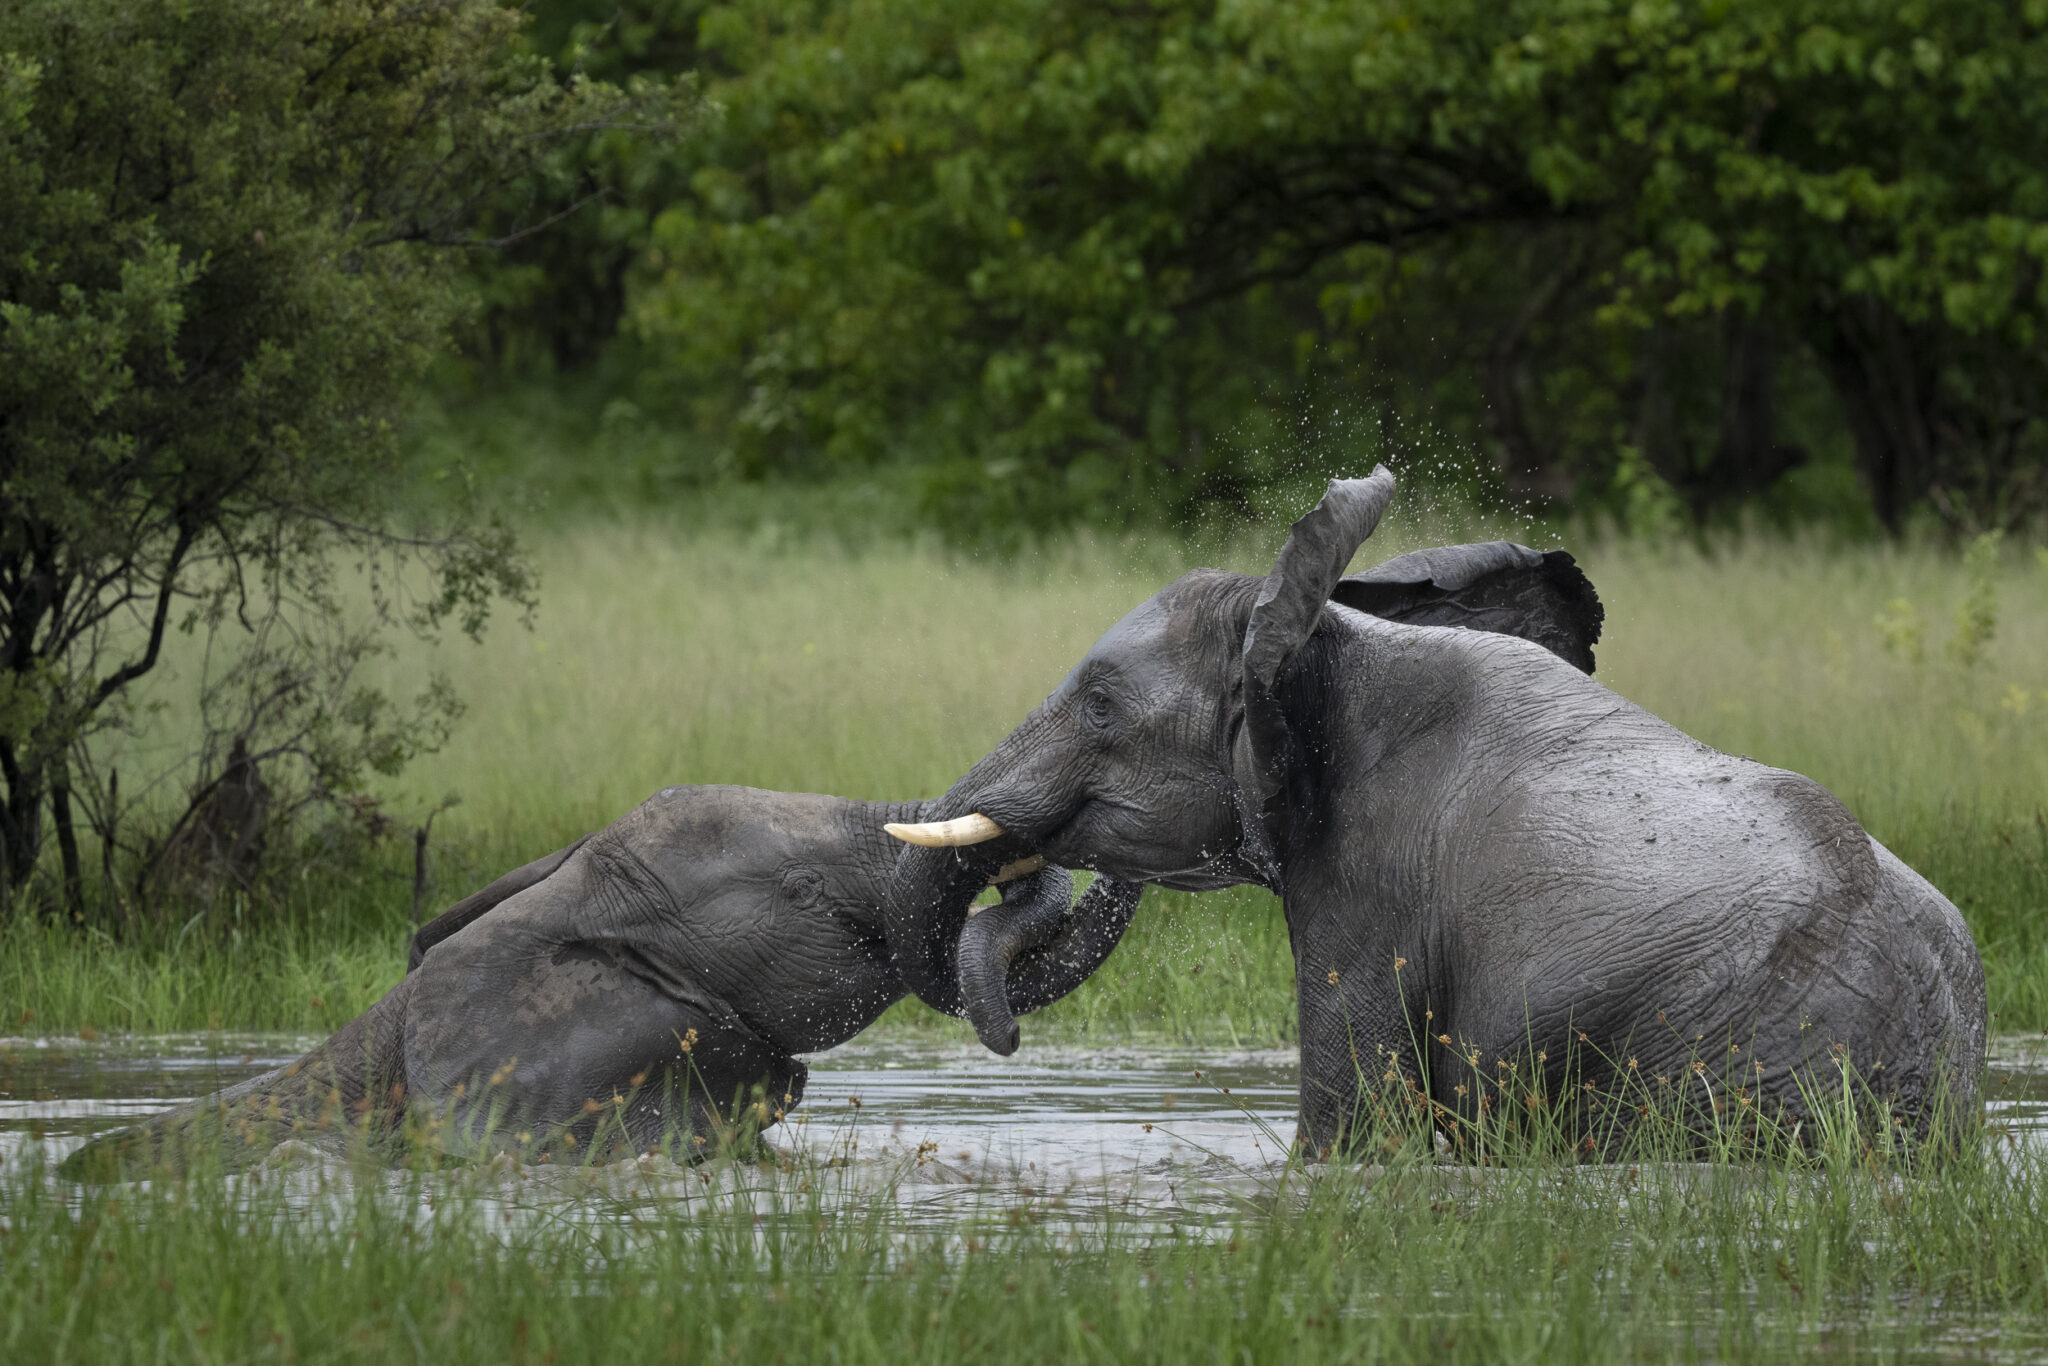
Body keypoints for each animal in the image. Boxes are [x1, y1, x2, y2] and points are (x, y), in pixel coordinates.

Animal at [888, 475, 1990, 1163]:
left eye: (1100, 704)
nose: (1008, 1043)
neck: (1326, 636)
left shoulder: (1375, 885)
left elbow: (1353, 1118)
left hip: (1736, 1051)